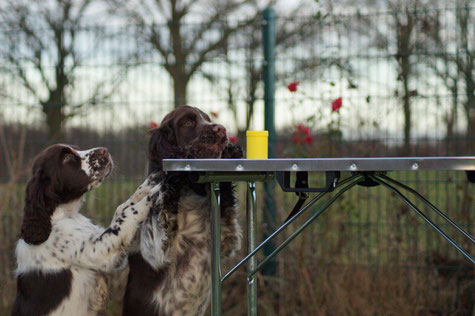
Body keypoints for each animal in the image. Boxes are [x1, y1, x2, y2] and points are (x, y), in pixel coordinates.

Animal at [12, 145, 158, 316]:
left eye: (75, 149)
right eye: (67, 158)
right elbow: (128, 214)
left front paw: (149, 183)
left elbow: (122, 208)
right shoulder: (98, 251)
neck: (62, 215)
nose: (104, 150)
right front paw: (156, 191)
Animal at [122, 107, 244, 316]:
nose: (221, 129)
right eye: (188, 122)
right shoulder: (157, 250)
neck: (189, 192)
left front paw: (231, 153)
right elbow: (165, 209)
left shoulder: (224, 240)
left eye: (207, 119)